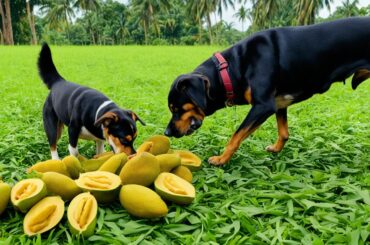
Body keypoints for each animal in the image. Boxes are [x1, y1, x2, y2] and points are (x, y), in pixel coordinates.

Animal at [165, 17, 370, 166]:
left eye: (176, 108)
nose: (166, 132)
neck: (230, 69)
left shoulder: (263, 105)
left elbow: (236, 136)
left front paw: (221, 159)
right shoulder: (279, 102)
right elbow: (284, 132)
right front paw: (277, 149)